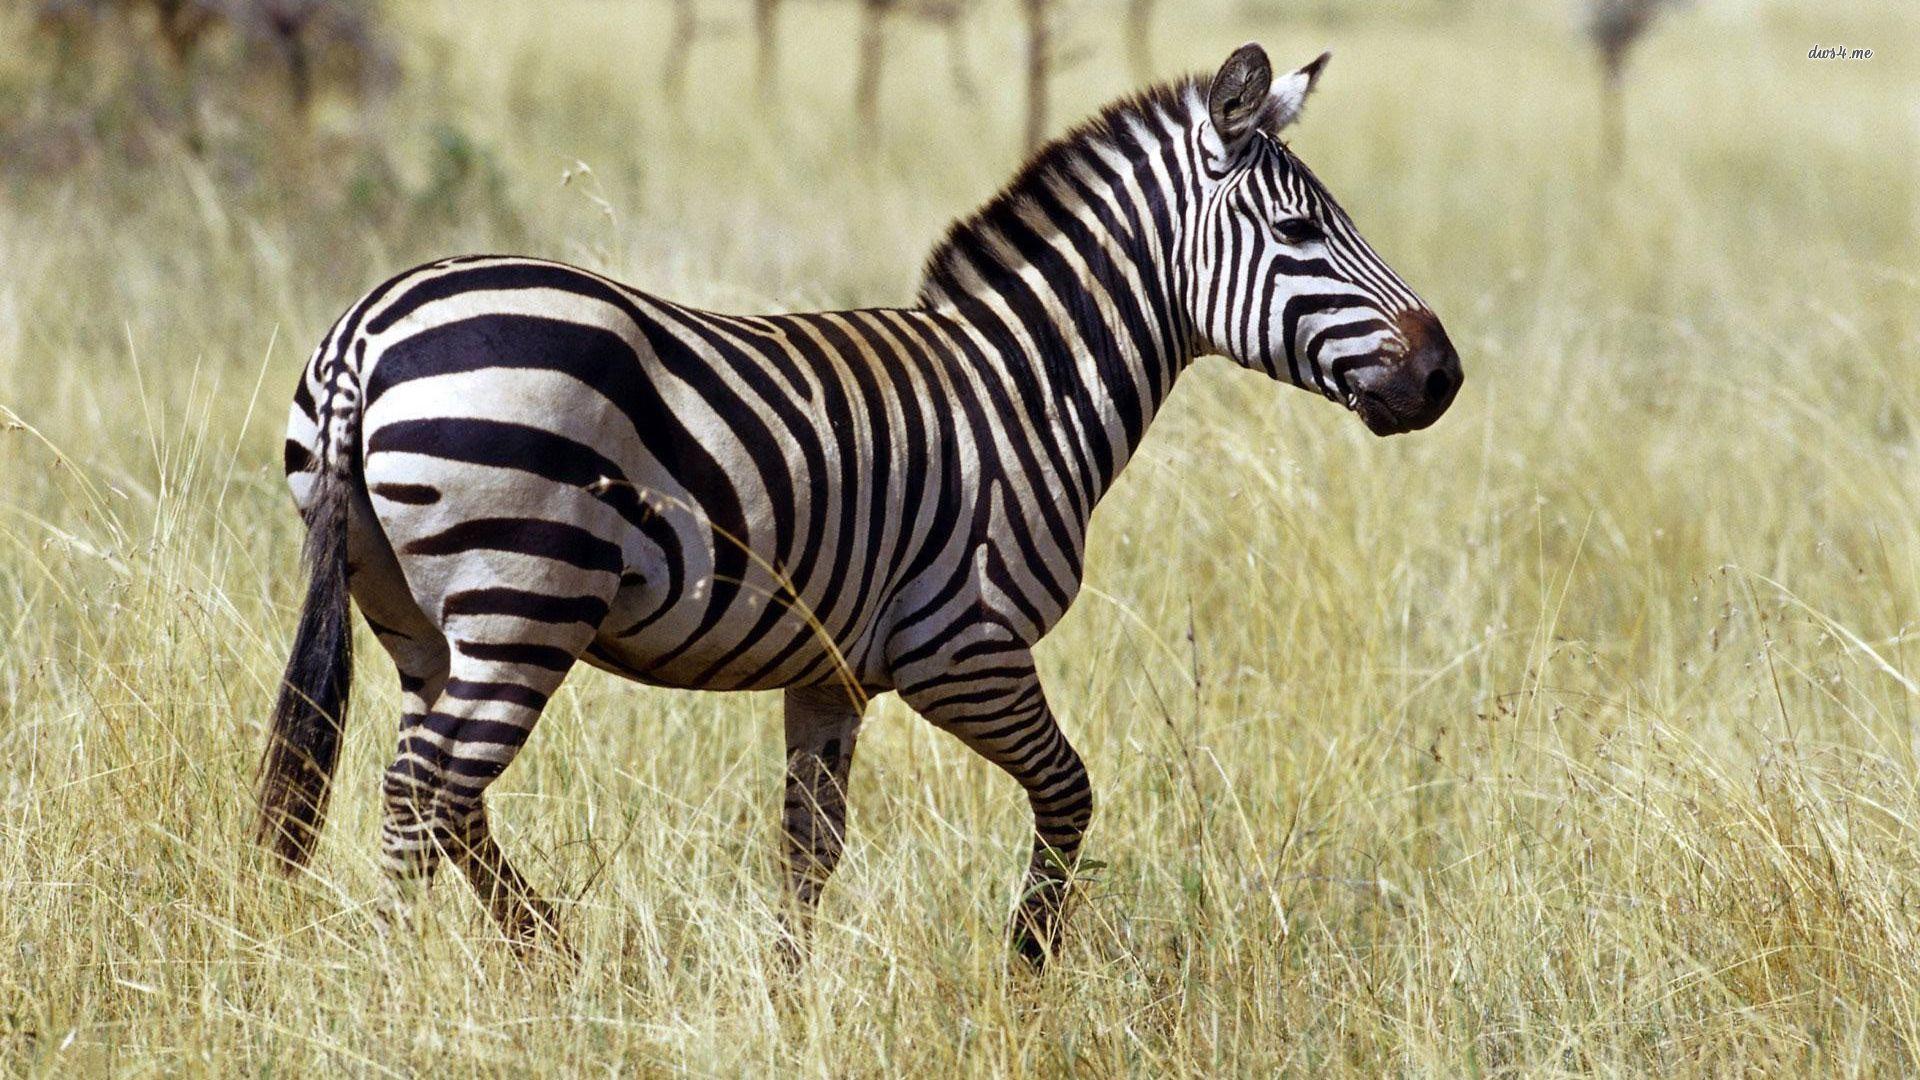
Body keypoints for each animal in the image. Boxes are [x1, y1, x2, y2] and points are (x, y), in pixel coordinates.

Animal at [259, 42, 1462, 965]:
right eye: (1299, 235)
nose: (1443, 375)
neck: (1025, 388)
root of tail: (365, 328)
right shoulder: (959, 646)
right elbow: (1070, 793)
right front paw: (1026, 967)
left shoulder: (828, 670)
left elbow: (809, 849)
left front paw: (791, 992)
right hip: (525, 601)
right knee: (422, 791)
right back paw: (400, 982)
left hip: (415, 614)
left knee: (446, 794)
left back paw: (550, 955)